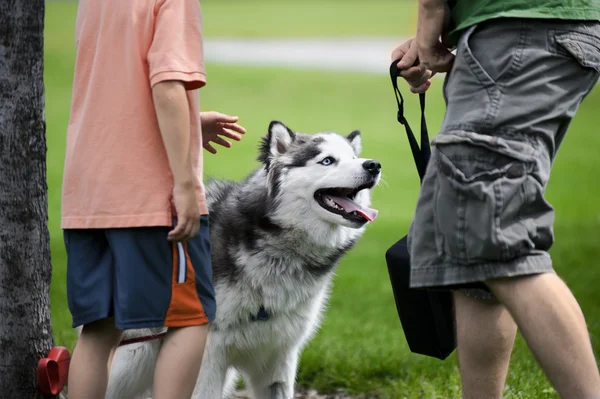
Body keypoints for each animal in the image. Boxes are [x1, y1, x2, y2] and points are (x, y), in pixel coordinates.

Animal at [103, 120, 382, 398]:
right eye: (327, 160)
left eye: (354, 157)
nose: (374, 165)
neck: (278, 257)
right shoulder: (209, 354)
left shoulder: (278, 356)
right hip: (135, 354)